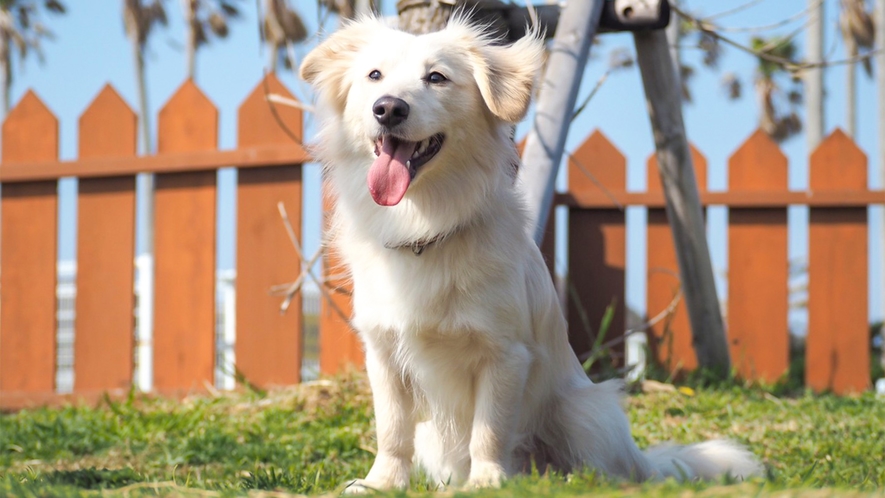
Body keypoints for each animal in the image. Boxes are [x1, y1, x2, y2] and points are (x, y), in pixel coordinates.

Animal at [298, 15, 760, 490]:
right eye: (374, 76)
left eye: (437, 78)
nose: (388, 108)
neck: (425, 225)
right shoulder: (385, 355)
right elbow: (391, 430)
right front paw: (382, 483)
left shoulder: (504, 354)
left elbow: (488, 429)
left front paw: (487, 481)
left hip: (585, 410)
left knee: (599, 466)